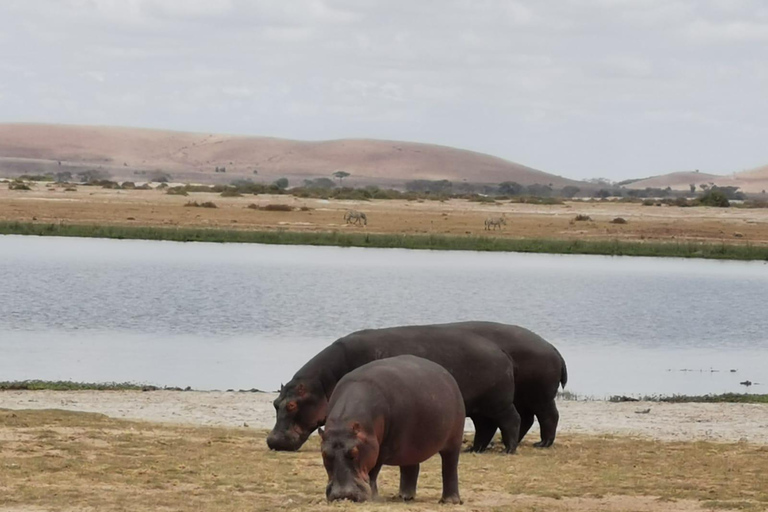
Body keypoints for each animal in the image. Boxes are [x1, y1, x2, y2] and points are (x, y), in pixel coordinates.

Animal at [320, 354, 464, 502]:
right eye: (324, 454)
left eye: (354, 453)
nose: (343, 495)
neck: (344, 424)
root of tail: (447, 374)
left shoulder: (381, 449)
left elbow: (373, 471)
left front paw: (374, 497)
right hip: (410, 445)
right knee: (410, 466)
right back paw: (405, 496)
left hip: (454, 440)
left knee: (449, 466)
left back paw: (449, 501)